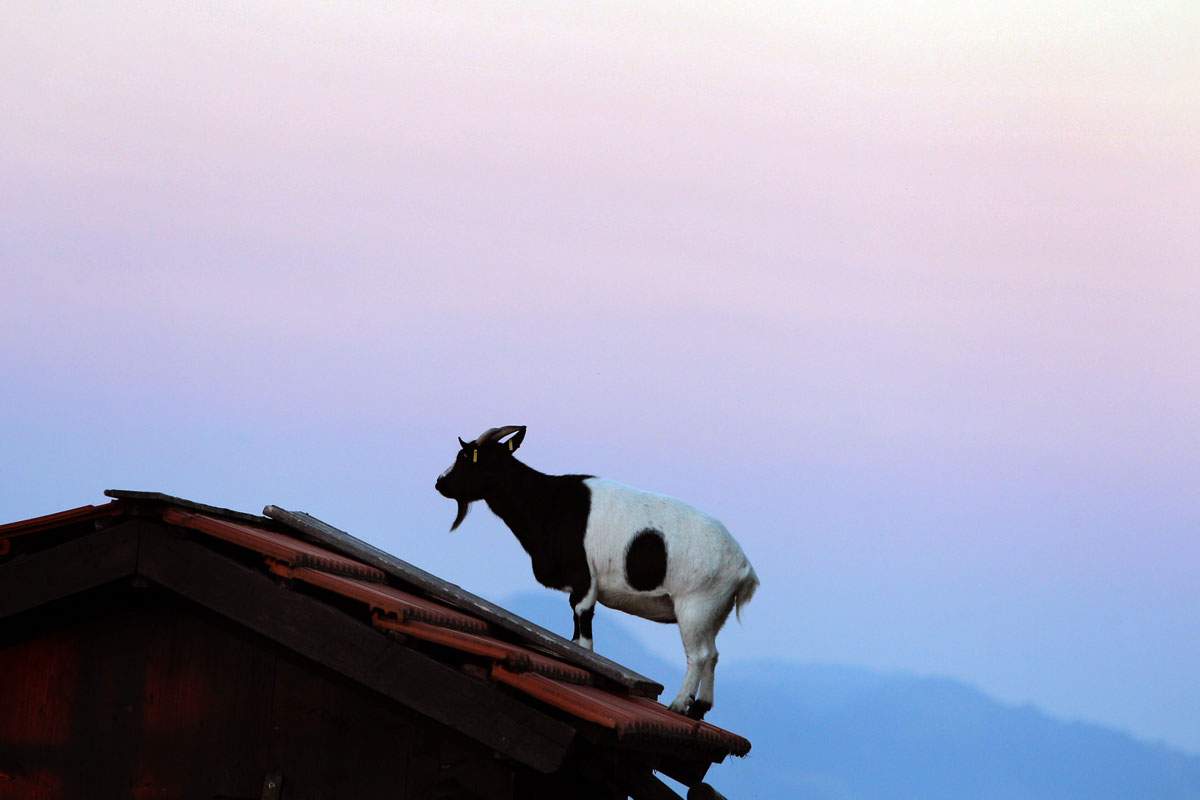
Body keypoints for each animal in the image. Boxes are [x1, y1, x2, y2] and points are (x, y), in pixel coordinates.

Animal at [434, 424, 758, 719]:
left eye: (466, 456)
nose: (440, 483)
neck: (547, 504)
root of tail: (744, 569)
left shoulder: (584, 582)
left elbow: (584, 638)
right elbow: (574, 638)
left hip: (695, 605)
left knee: (699, 655)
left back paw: (679, 705)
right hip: (715, 612)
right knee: (713, 653)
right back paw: (699, 708)